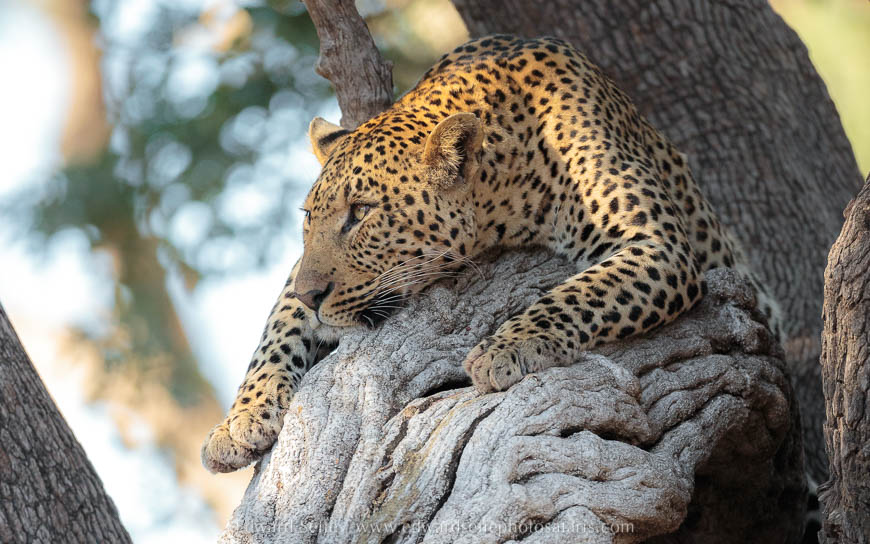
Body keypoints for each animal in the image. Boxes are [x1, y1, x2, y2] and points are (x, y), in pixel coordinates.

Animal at [201, 35, 780, 473]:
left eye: (361, 211)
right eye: (309, 218)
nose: (313, 295)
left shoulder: (658, 243)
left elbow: (578, 295)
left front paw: (506, 349)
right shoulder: (300, 275)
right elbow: (277, 330)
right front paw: (239, 422)